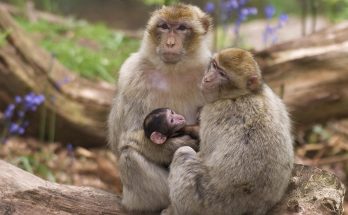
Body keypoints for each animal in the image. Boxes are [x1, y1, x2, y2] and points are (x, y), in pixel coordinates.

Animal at [107, 3, 213, 213]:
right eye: (164, 26)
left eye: (181, 28)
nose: (170, 43)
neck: (174, 70)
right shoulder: (132, 75)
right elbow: (124, 138)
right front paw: (175, 145)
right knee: (130, 156)